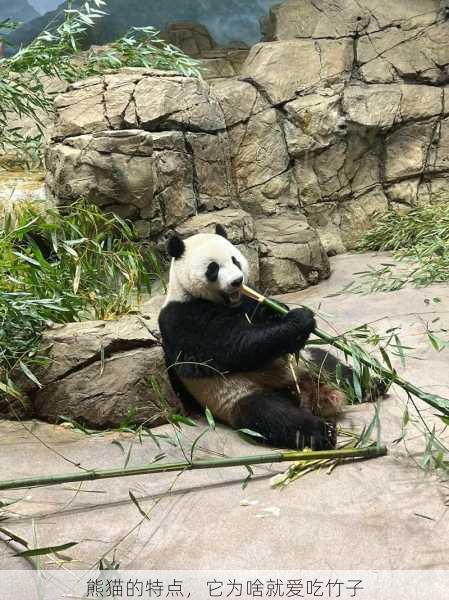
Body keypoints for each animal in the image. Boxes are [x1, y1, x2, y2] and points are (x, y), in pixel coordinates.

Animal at [157, 225, 344, 450]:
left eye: (235, 260)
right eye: (213, 268)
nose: (237, 281)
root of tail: (309, 394)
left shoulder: (247, 298)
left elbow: (259, 312)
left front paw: (276, 309)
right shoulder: (184, 319)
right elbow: (233, 345)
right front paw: (299, 320)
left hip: (308, 365)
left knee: (332, 365)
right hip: (238, 395)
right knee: (274, 415)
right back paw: (324, 432)